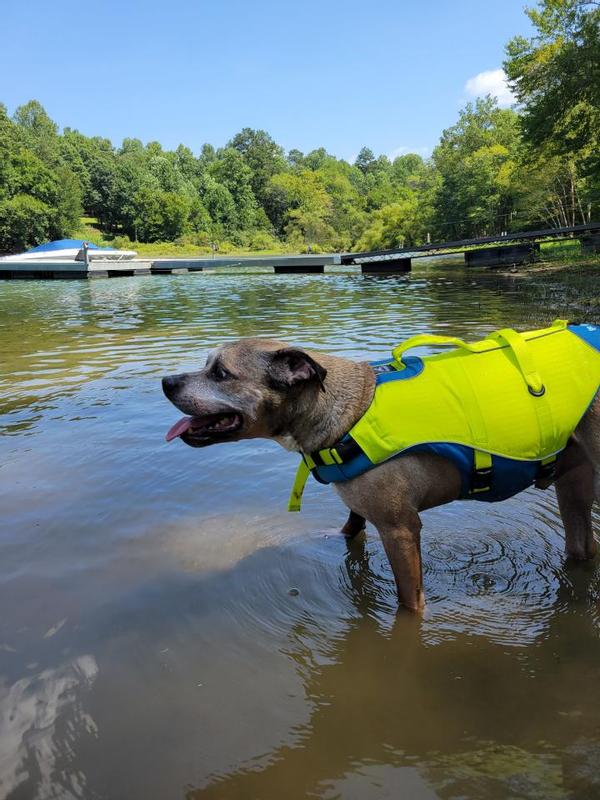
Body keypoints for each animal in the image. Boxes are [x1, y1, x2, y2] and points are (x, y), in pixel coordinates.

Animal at [161, 334, 600, 608]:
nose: (167, 381)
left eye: (221, 373)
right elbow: (347, 530)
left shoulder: (400, 529)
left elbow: (409, 602)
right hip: (574, 486)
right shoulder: (359, 511)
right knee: (583, 544)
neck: (344, 411)